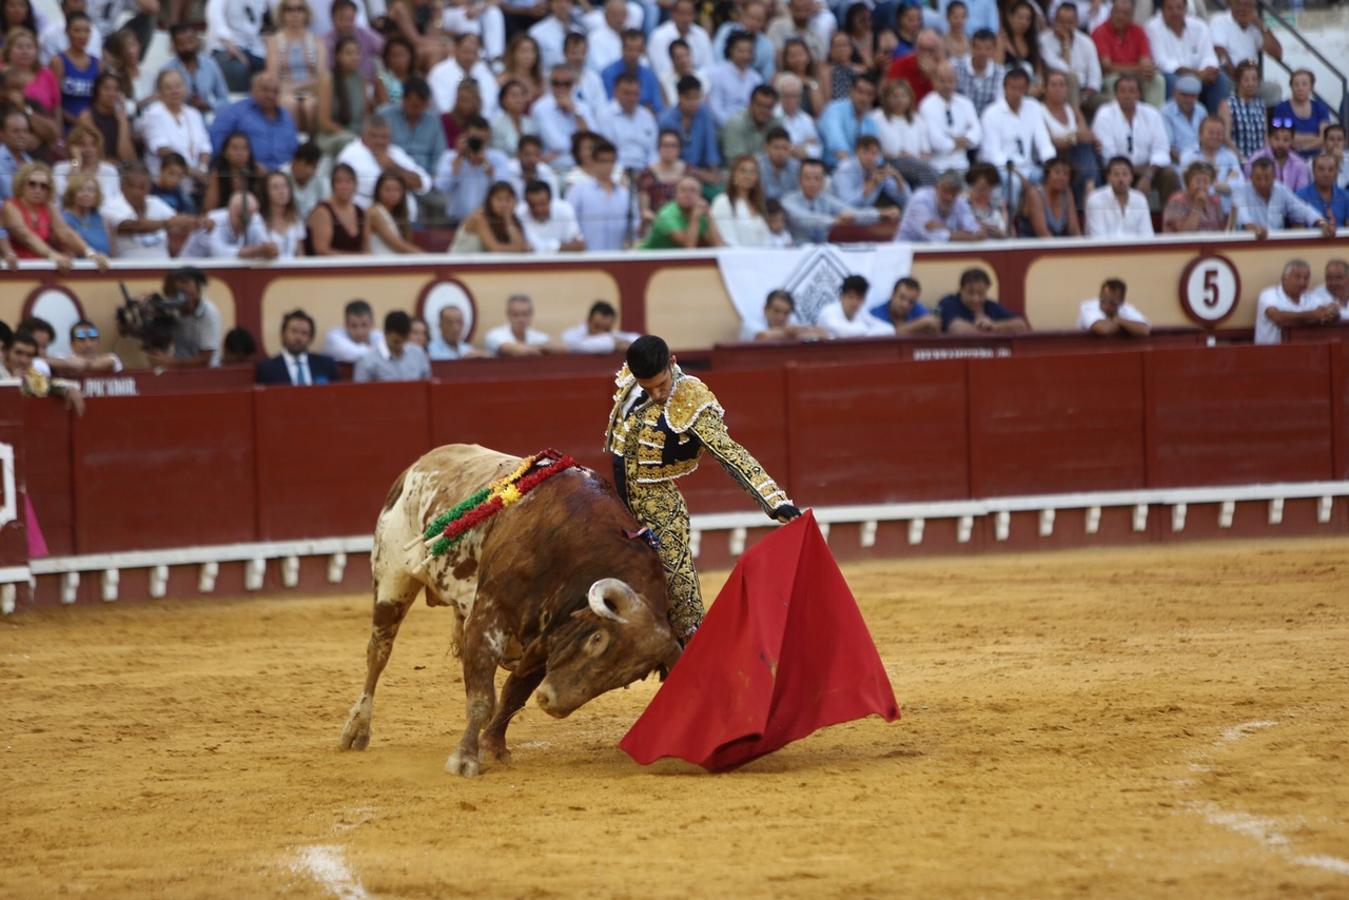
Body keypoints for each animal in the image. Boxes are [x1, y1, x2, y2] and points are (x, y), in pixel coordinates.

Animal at [333, 442, 679, 777]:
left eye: (627, 677)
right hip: (392, 579)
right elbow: (484, 698)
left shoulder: (547, 638)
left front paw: (493, 747)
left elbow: (514, 693)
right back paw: (356, 728)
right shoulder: (488, 616)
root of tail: (418, 464)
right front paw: (464, 759)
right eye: (597, 640)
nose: (551, 702)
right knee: (379, 652)